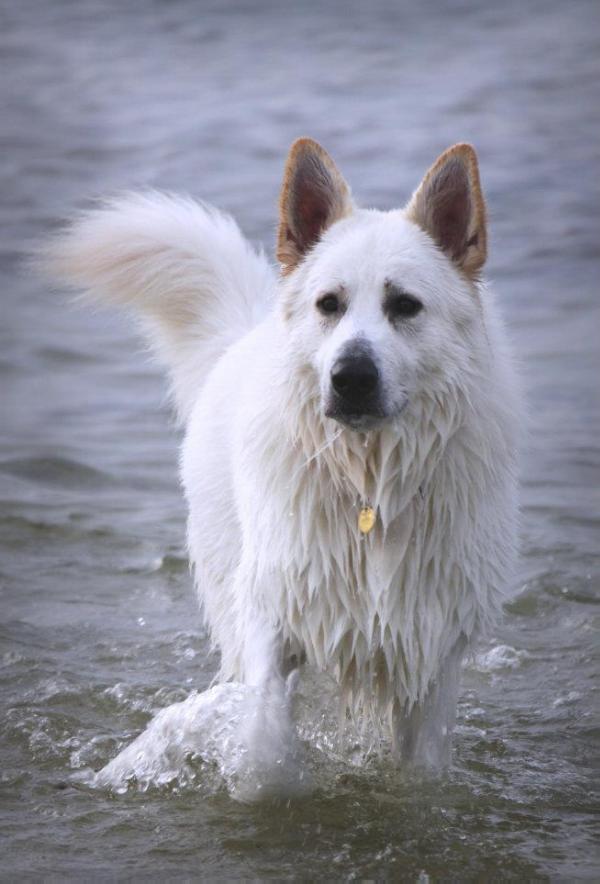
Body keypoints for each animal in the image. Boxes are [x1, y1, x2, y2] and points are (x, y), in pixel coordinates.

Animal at [45, 140, 520, 800]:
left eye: (404, 306)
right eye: (329, 305)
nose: (350, 377)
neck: (369, 485)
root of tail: (246, 329)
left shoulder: (431, 653)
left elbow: (420, 773)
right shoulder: (273, 616)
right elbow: (265, 738)